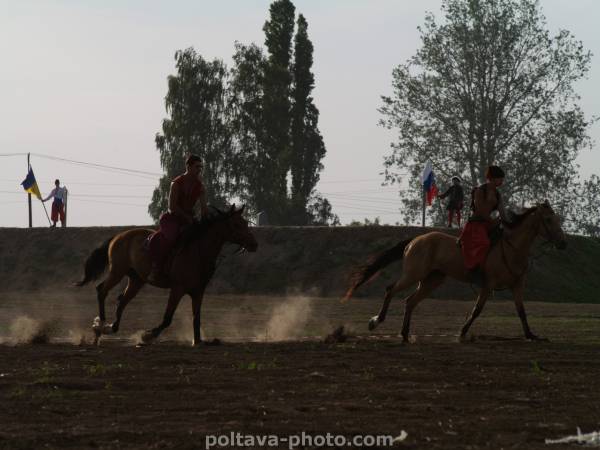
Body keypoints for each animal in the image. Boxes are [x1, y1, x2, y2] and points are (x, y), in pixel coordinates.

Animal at [75, 206, 255, 346]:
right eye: (236, 224)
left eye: (246, 223)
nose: (254, 244)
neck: (198, 251)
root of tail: (119, 236)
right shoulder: (177, 289)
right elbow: (167, 318)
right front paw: (147, 335)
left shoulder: (198, 292)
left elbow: (196, 318)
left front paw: (198, 341)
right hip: (117, 272)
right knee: (102, 290)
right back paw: (100, 325)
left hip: (136, 280)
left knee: (122, 301)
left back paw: (109, 328)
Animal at [342, 200, 568, 342]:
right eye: (549, 220)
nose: (562, 243)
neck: (512, 247)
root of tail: (416, 240)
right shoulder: (488, 285)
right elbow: (477, 310)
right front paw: (462, 332)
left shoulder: (517, 286)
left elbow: (521, 311)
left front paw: (531, 335)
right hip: (413, 274)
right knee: (391, 290)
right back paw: (376, 322)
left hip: (432, 280)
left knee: (410, 301)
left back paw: (405, 334)